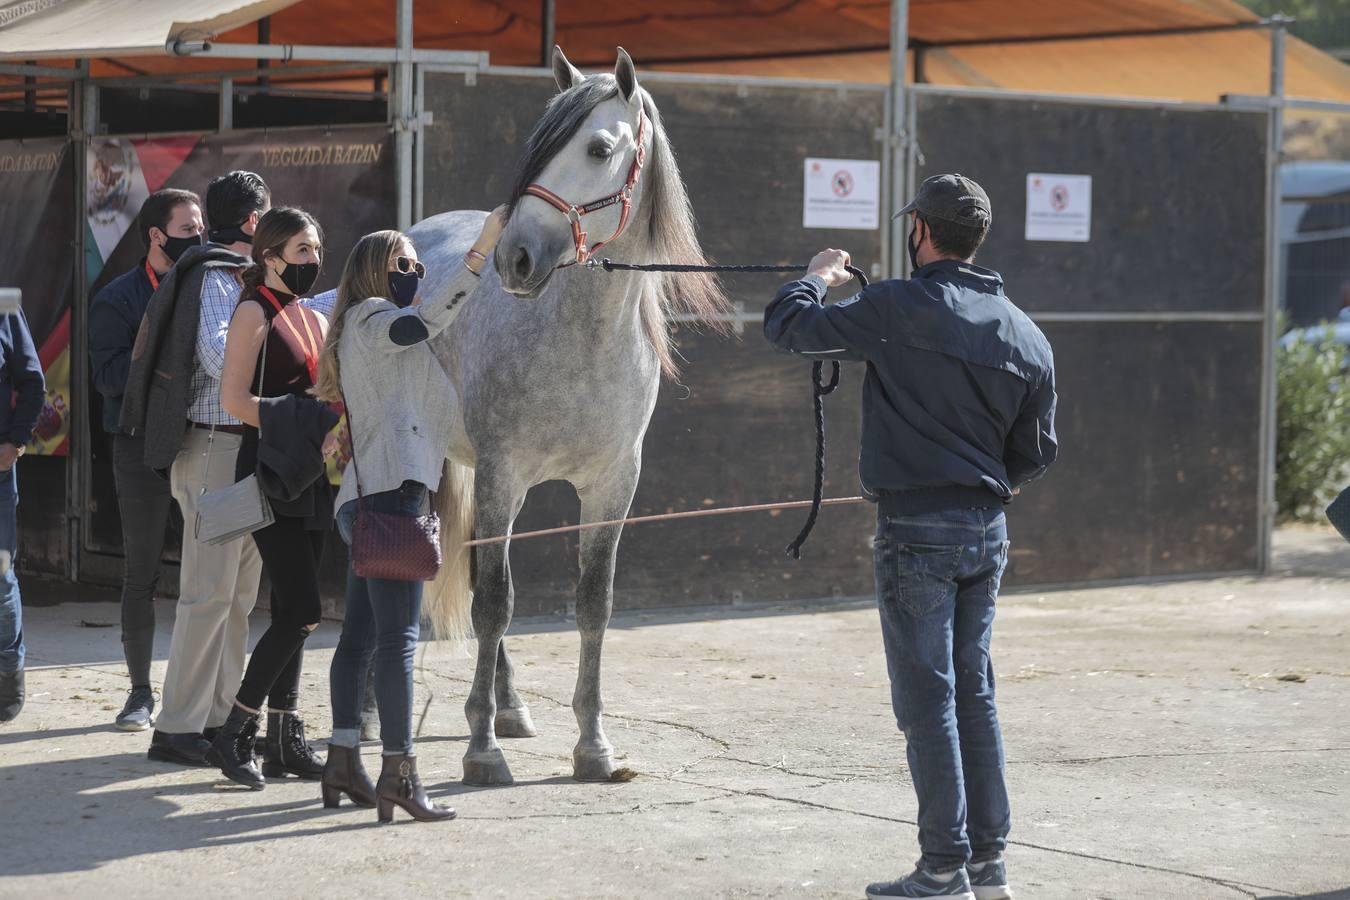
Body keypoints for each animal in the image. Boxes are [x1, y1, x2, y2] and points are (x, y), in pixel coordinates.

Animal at [405, 45, 729, 782]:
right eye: (540, 145)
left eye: (599, 147)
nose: (513, 257)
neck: (582, 341)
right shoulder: (503, 477)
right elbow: (496, 604)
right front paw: (481, 752)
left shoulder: (611, 487)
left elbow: (591, 605)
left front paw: (592, 745)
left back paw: (511, 707)